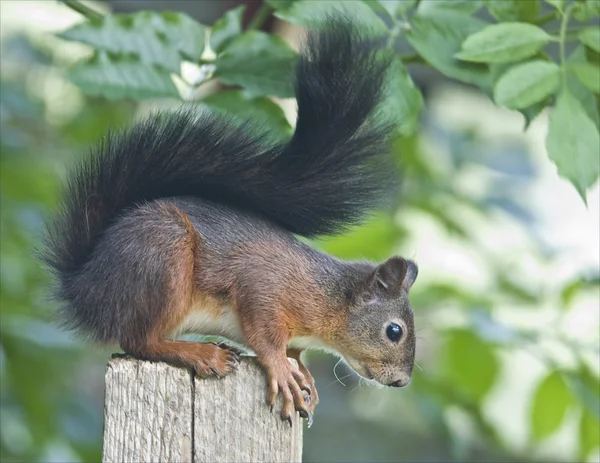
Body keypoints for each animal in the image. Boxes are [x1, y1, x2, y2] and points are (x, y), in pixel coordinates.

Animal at [42, 17, 418, 428]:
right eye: (394, 331)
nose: (401, 382)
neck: (328, 296)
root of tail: (84, 286)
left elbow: (295, 352)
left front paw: (303, 375)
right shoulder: (264, 288)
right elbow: (265, 337)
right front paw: (283, 372)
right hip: (162, 258)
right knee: (138, 341)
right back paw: (202, 354)